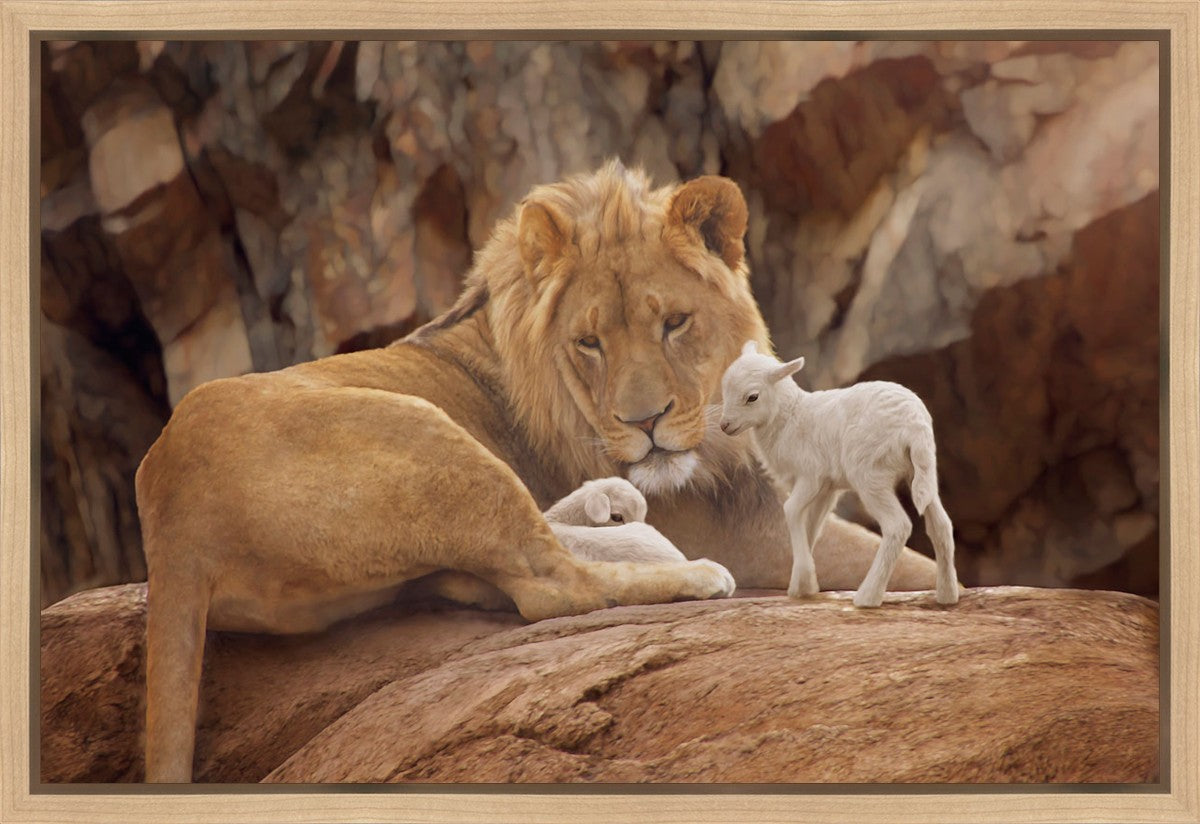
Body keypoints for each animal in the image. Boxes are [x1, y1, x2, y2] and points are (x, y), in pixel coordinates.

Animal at [718, 341, 958, 608]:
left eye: (752, 397)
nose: (724, 425)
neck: (790, 417)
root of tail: (914, 425)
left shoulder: (810, 476)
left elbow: (791, 510)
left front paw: (804, 581)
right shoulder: (827, 488)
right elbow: (811, 525)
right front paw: (802, 585)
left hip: (870, 474)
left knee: (898, 526)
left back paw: (867, 596)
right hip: (922, 471)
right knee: (941, 525)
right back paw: (947, 595)